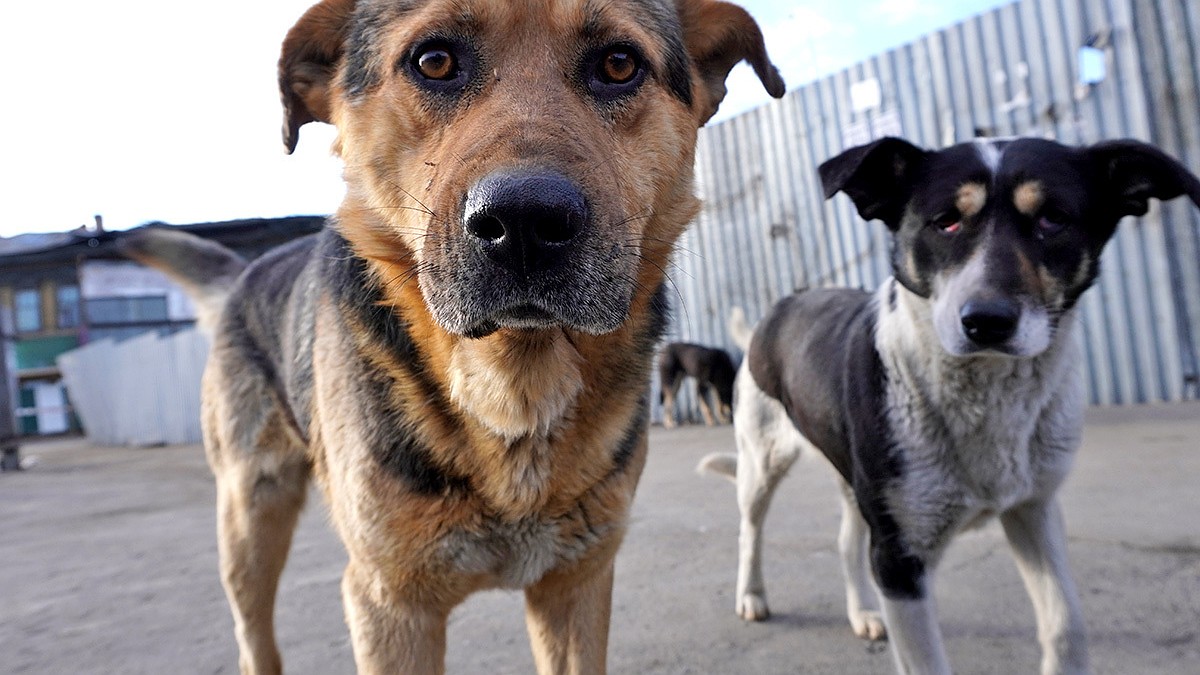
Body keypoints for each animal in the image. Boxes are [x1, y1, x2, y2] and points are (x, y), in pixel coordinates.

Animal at [121, 1, 782, 672]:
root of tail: (246, 272)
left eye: (620, 64)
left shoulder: (576, 585)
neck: (513, 389)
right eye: (433, 60)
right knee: (254, 633)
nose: (524, 222)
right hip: (250, 521)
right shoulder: (390, 606)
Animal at [700, 133, 1200, 667]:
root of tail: (777, 310)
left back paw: (862, 613)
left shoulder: (1035, 509)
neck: (986, 392)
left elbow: (1067, 625)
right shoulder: (899, 560)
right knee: (750, 531)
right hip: (761, 461)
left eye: (1053, 219)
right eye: (946, 221)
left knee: (846, 541)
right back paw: (751, 596)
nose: (986, 321)